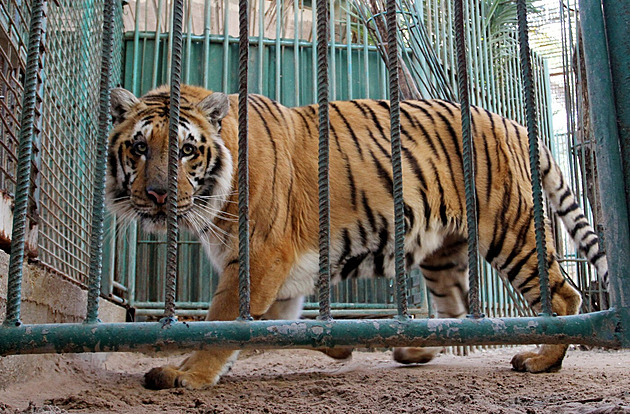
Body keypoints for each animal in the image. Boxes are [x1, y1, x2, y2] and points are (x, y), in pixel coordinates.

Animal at [108, 83, 612, 388]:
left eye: (186, 150)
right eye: (139, 146)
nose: (156, 194)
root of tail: (516, 125)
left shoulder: (259, 258)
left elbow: (223, 324)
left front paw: (187, 374)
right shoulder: (281, 280)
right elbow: (270, 328)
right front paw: (337, 344)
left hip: (512, 230)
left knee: (564, 297)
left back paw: (541, 360)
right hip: (443, 254)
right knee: (454, 309)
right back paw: (412, 350)